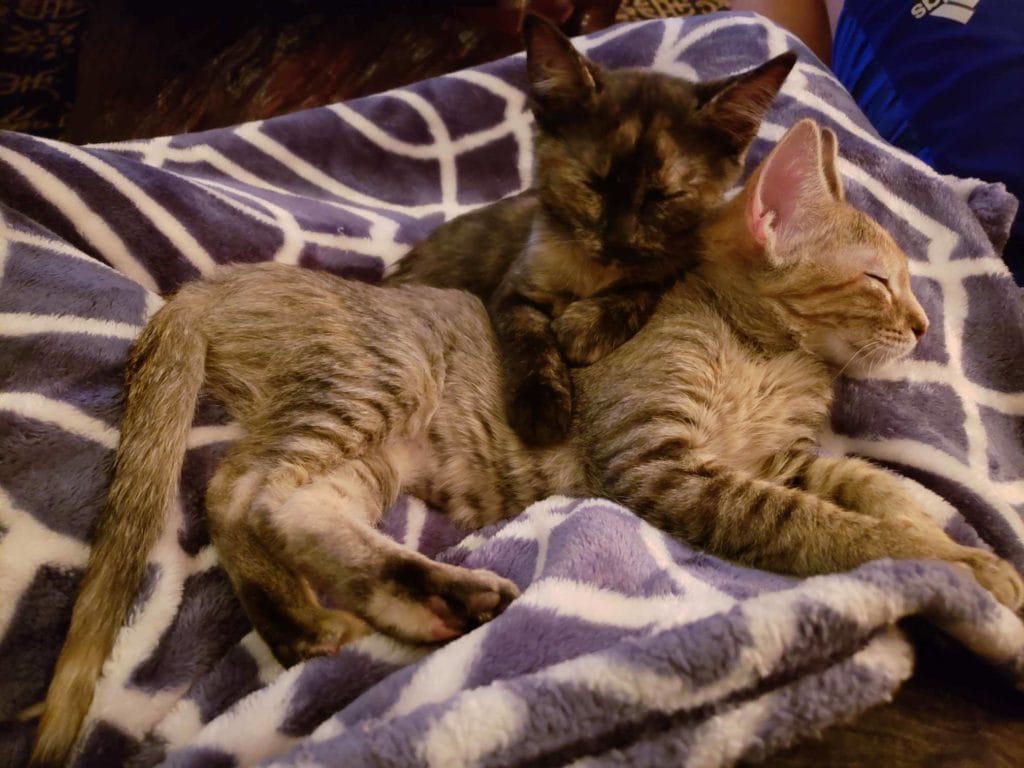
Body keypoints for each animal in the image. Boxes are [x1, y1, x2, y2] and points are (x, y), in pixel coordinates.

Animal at [32, 118, 1024, 768]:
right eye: (879, 281)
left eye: (910, 285)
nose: (924, 324)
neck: (768, 359)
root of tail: (212, 285)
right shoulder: (665, 463)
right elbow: (832, 527)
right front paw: (960, 565)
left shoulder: (781, 457)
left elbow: (869, 485)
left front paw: (957, 536)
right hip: (374, 385)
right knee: (241, 490)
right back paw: (326, 615)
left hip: (371, 453)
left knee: (296, 506)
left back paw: (414, 602)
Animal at [387, 15, 794, 448]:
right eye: (594, 184)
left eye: (662, 197)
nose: (619, 240)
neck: (596, 274)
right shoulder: (513, 291)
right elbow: (529, 337)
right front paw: (542, 404)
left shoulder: (681, 263)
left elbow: (645, 287)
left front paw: (585, 327)